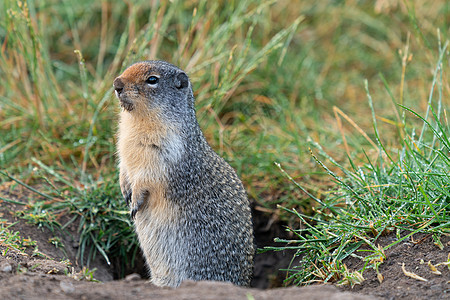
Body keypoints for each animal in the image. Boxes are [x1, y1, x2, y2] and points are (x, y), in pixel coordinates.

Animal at [112, 60, 255, 286]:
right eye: (128, 67)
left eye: (152, 79)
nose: (117, 84)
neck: (136, 122)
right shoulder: (124, 149)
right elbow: (123, 168)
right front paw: (125, 191)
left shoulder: (164, 153)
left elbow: (146, 178)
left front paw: (134, 202)